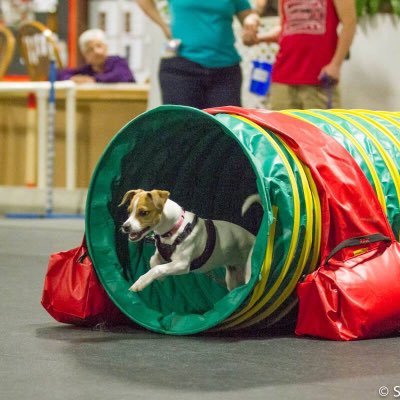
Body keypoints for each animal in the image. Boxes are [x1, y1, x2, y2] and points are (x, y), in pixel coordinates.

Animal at [119, 189, 256, 292]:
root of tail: (254, 237)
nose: (125, 227)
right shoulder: (161, 255)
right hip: (232, 278)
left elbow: (158, 268)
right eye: (128, 211)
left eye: (144, 212)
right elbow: (153, 262)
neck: (175, 229)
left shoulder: (182, 264)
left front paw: (141, 282)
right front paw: (160, 278)